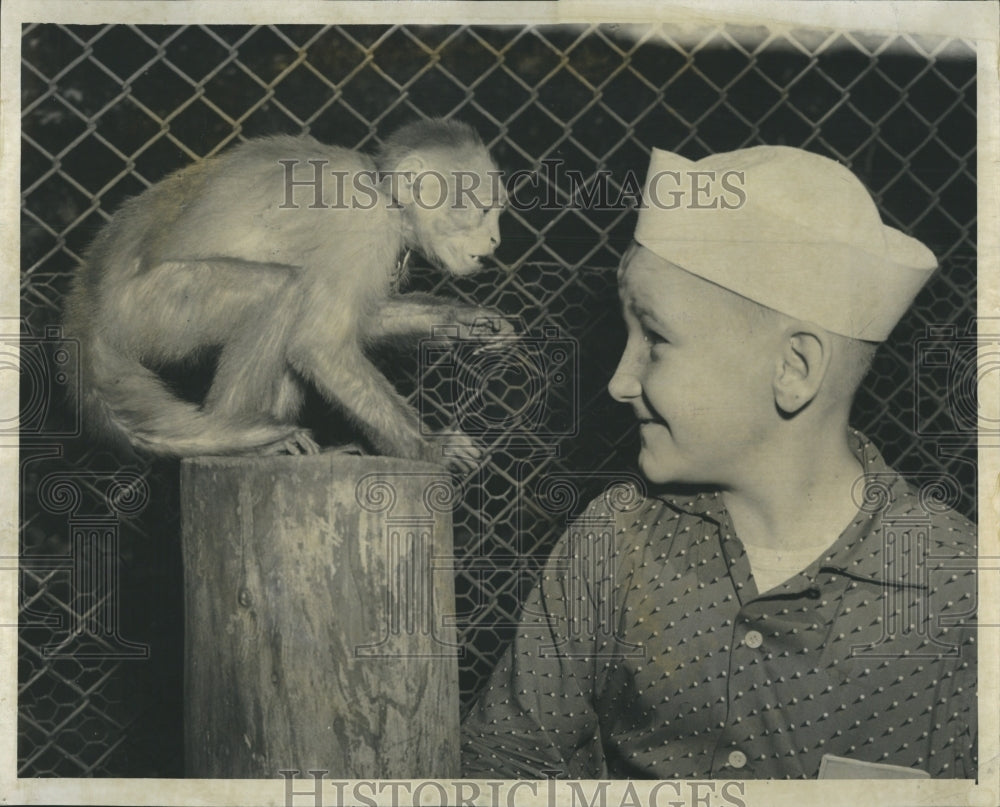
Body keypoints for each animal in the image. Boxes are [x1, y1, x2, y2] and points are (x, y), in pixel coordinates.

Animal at [63, 120, 512, 474]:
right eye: (484, 209)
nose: (496, 240)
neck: (386, 197)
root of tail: (90, 294)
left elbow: (358, 322)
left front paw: (464, 321)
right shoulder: (364, 228)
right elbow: (321, 347)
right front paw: (430, 447)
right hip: (147, 309)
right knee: (280, 291)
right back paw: (240, 442)